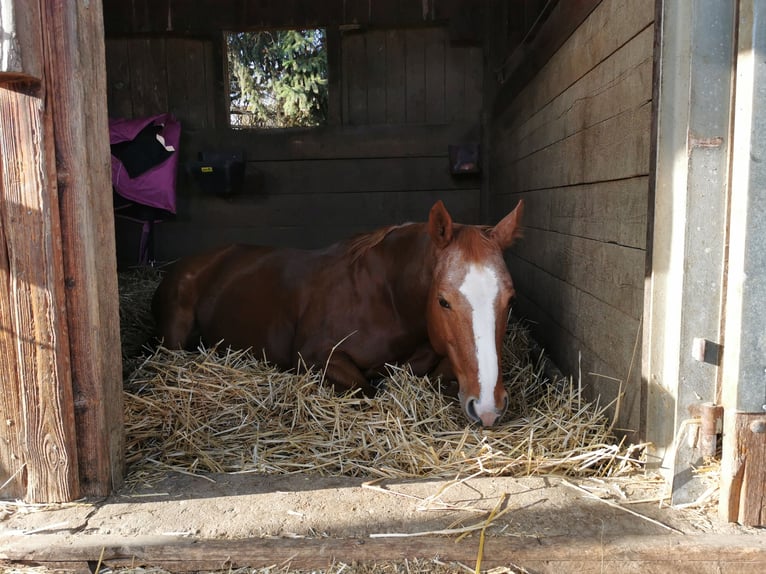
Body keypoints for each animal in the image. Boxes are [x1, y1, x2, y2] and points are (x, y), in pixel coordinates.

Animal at [152, 200, 524, 427]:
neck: (386, 299)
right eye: (443, 301)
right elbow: (368, 390)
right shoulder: (315, 357)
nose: (488, 408)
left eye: (510, 301)